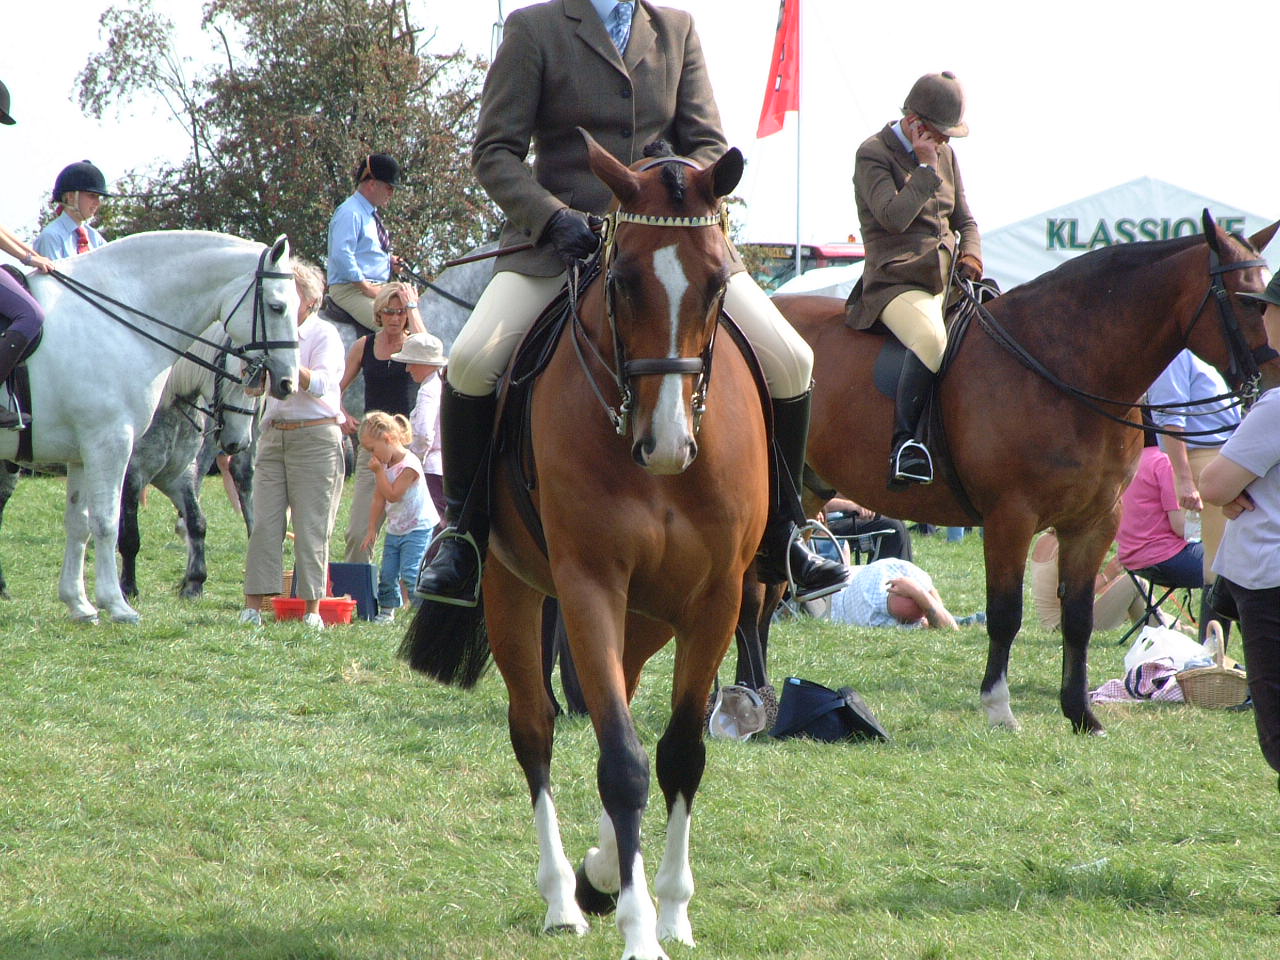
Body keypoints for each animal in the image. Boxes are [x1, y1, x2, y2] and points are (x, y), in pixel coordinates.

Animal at [118, 329, 259, 599]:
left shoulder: (178, 476)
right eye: (238, 379)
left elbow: (197, 522)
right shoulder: (132, 475)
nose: (241, 442)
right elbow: (129, 535)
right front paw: (128, 587)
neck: (168, 404)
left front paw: (194, 582)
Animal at [400, 136, 768, 960]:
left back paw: (601, 870)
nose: (667, 446)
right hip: (513, 589)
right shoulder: (589, 585)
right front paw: (637, 928)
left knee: (619, 695)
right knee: (536, 729)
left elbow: (679, 752)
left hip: (650, 616)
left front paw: (671, 911)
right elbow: (623, 761)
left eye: (718, 281)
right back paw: (565, 897)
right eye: (623, 280)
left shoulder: (717, 599)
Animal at [771, 213, 1278, 734]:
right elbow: (1005, 613)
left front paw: (1081, 714)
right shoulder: (1010, 518)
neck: (1062, 367)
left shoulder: (1096, 522)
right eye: (1247, 299)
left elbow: (1078, 618)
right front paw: (998, 707)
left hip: (804, 493)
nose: (1274, 378)